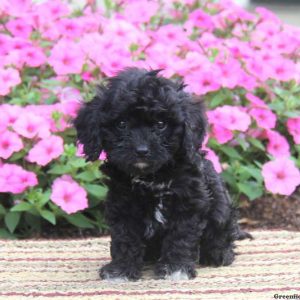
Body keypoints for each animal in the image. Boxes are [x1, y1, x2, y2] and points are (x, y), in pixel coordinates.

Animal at [74, 68, 251, 282]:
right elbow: (124, 238)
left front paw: (175, 268)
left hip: (221, 210)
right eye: (122, 124)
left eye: (160, 124)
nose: (141, 150)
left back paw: (219, 254)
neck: (152, 177)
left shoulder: (188, 204)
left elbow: (180, 237)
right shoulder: (122, 204)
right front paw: (121, 269)